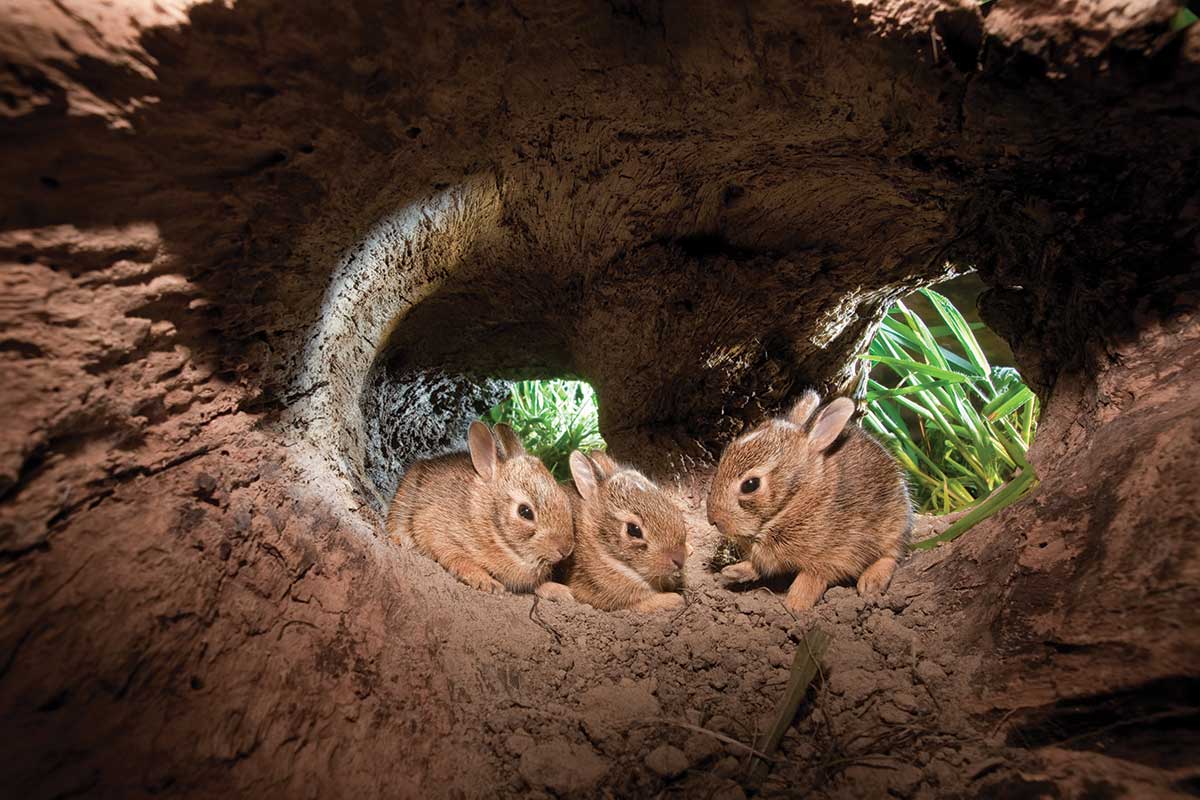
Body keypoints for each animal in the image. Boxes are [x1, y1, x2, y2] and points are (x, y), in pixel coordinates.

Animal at [384, 419, 571, 599]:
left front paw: (561, 591)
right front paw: (488, 583)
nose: (565, 550)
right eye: (525, 512)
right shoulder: (440, 534)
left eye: (564, 498)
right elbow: (460, 560)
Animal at [700, 393, 907, 614]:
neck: (796, 498)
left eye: (750, 485)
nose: (713, 519)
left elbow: (810, 579)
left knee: (891, 555)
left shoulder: (831, 557)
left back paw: (870, 584)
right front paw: (733, 572)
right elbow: (758, 567)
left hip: (894, 524)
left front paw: (795, 606)